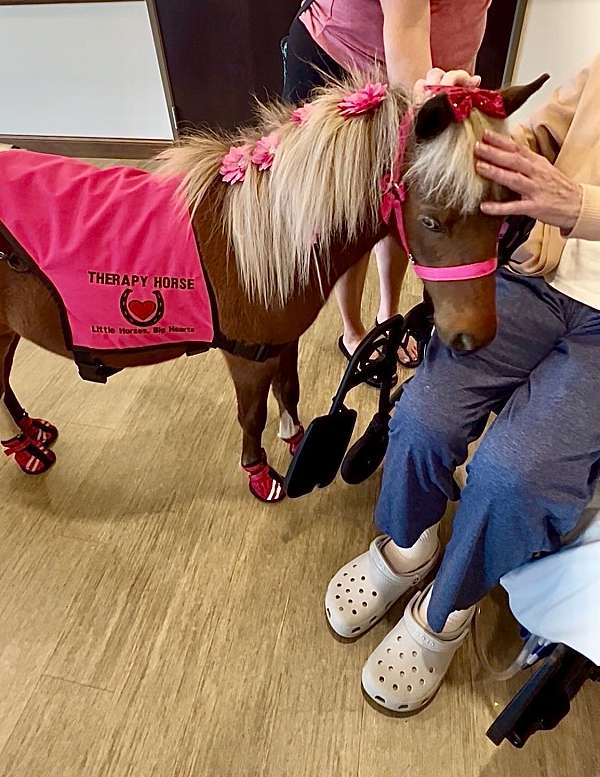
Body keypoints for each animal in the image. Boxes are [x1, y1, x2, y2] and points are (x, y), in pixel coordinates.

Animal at [0, 72, 546, 501]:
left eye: (504, 206)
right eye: (431, 220)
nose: (475, 337)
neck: (266, 235)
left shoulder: (282, 343)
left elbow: (290, 390)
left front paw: (297, 440)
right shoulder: (247, 356)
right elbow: (252, 416)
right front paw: (260, 474)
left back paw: (30, 435)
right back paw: (24, 450)